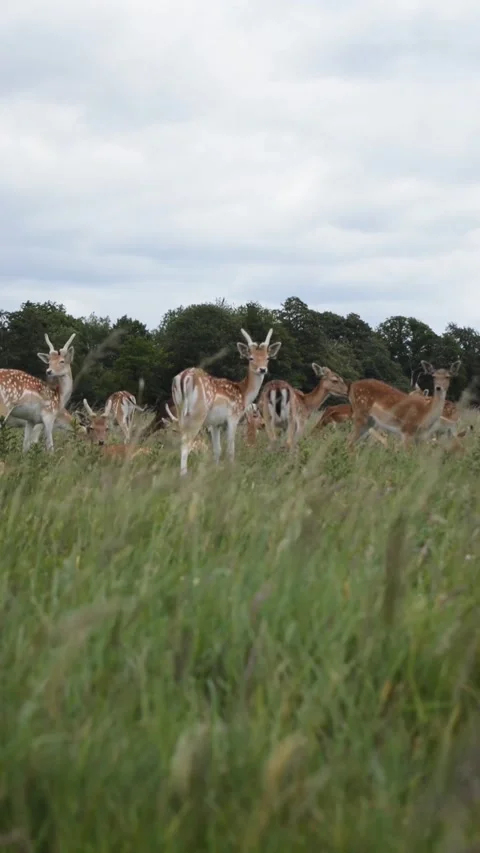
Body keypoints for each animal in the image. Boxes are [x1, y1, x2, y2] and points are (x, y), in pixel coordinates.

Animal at [172, 327, 281, 475]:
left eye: (267, 357)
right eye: (251, 357)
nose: (263, 369)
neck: (243, 394)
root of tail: (183, 378)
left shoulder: (215, 423)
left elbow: (217, 450)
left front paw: (216, 469)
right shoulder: (233, 417)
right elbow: (230, 449)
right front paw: (231, 469)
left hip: (179, 411)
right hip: (197, 413)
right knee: (186, 445)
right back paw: (184, 475)